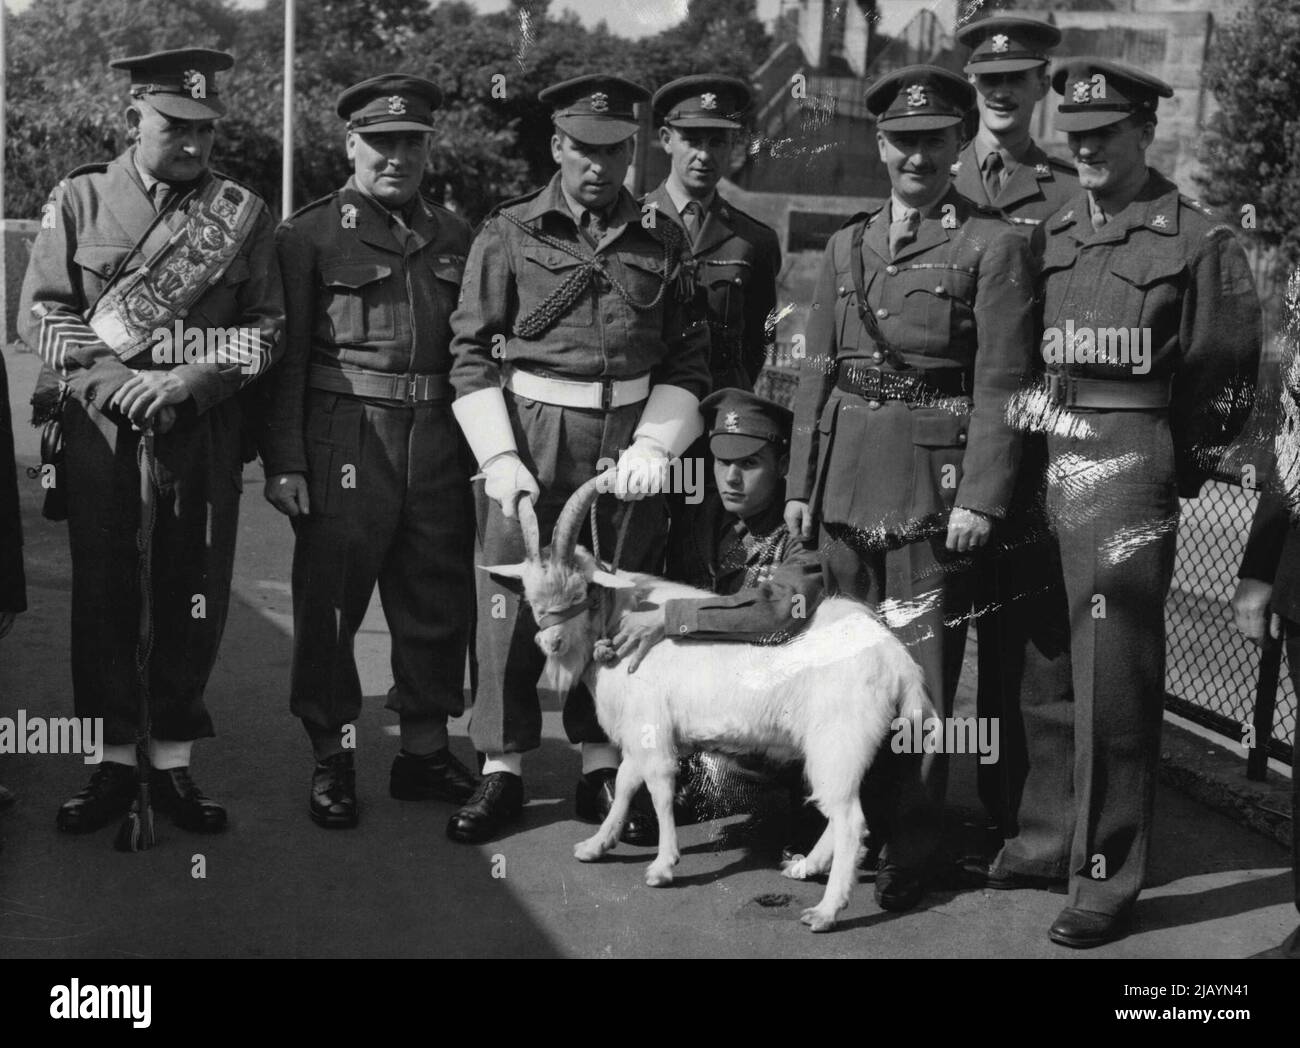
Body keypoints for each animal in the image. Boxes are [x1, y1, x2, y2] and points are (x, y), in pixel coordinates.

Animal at [488, 475, 935, 936]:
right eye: (529, 595)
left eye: (584, 590)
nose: (551, 643)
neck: (620, 619)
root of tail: (899, 663)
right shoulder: (639, 729)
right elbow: (627, 782)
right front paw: (596, 844)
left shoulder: (652, 726)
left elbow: (659, 787)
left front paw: (662, 867)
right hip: (847, 749)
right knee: (844, 809)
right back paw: (806, 867)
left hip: (839, 740)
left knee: (850, 821)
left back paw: (826, 911)